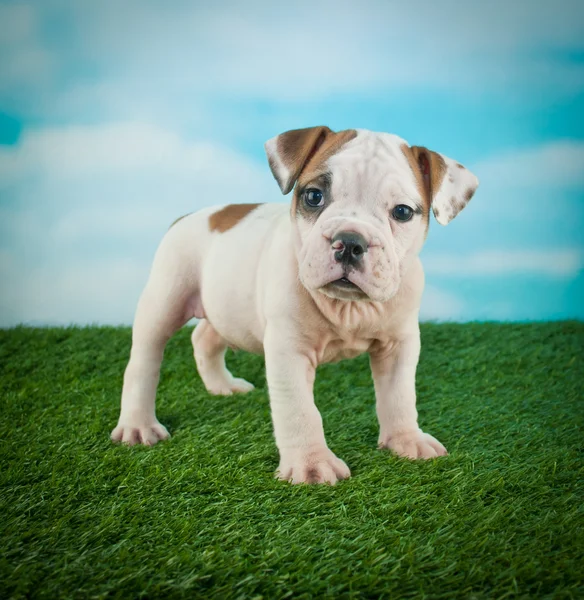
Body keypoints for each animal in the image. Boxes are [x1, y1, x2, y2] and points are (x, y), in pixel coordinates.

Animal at [110, 126, 480, 482]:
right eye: (314, 196)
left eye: (402, 212)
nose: (350, 242)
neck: (349, 307)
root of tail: (191, 215)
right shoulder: (289, 350)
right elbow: (300, 411)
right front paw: (311, 464)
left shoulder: (399, 345)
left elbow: (400, 395)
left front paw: (406, 439)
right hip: (165, 298)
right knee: (144, 360)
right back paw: (138, 424)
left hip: (228, 307)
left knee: (204, 338)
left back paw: (223, 386)